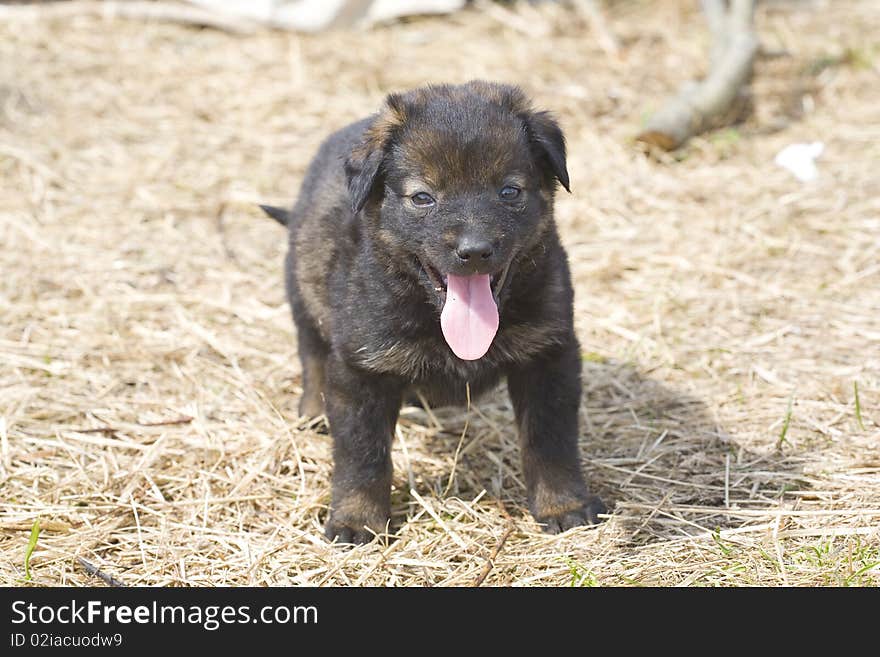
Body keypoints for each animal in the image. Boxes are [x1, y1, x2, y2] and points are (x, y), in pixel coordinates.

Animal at [262, 80, 604, 544]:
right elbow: (362, 454)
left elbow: (550, 440)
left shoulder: (549, 354)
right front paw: (356, 520)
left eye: (509, 191)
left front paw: (564, 505)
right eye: (423, 198)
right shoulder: (360, 368)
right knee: (312, 354)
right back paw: (314, 412)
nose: (474, 251)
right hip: (302, 293)